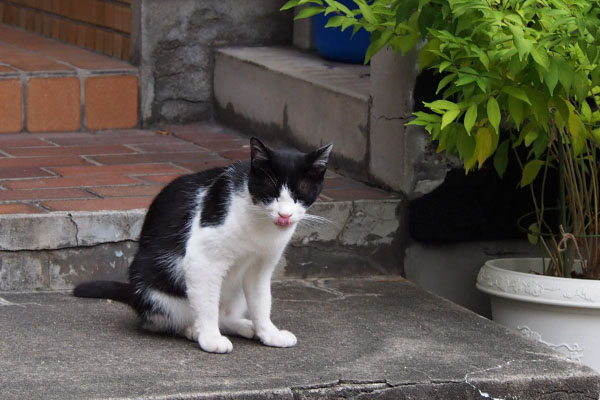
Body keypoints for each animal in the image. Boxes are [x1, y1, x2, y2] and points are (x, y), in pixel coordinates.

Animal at [74, 138, 332, 354]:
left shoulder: (261, 267)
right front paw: (210, 338)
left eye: (302, 191)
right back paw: (193, 330)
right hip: (155, 290)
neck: (258, 222)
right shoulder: (203, 260)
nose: (284, 215)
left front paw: (269, 333)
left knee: (224, 315)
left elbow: (261, 301)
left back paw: (244, 326)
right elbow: (207, 304)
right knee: (167, 320)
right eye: (270, 189)